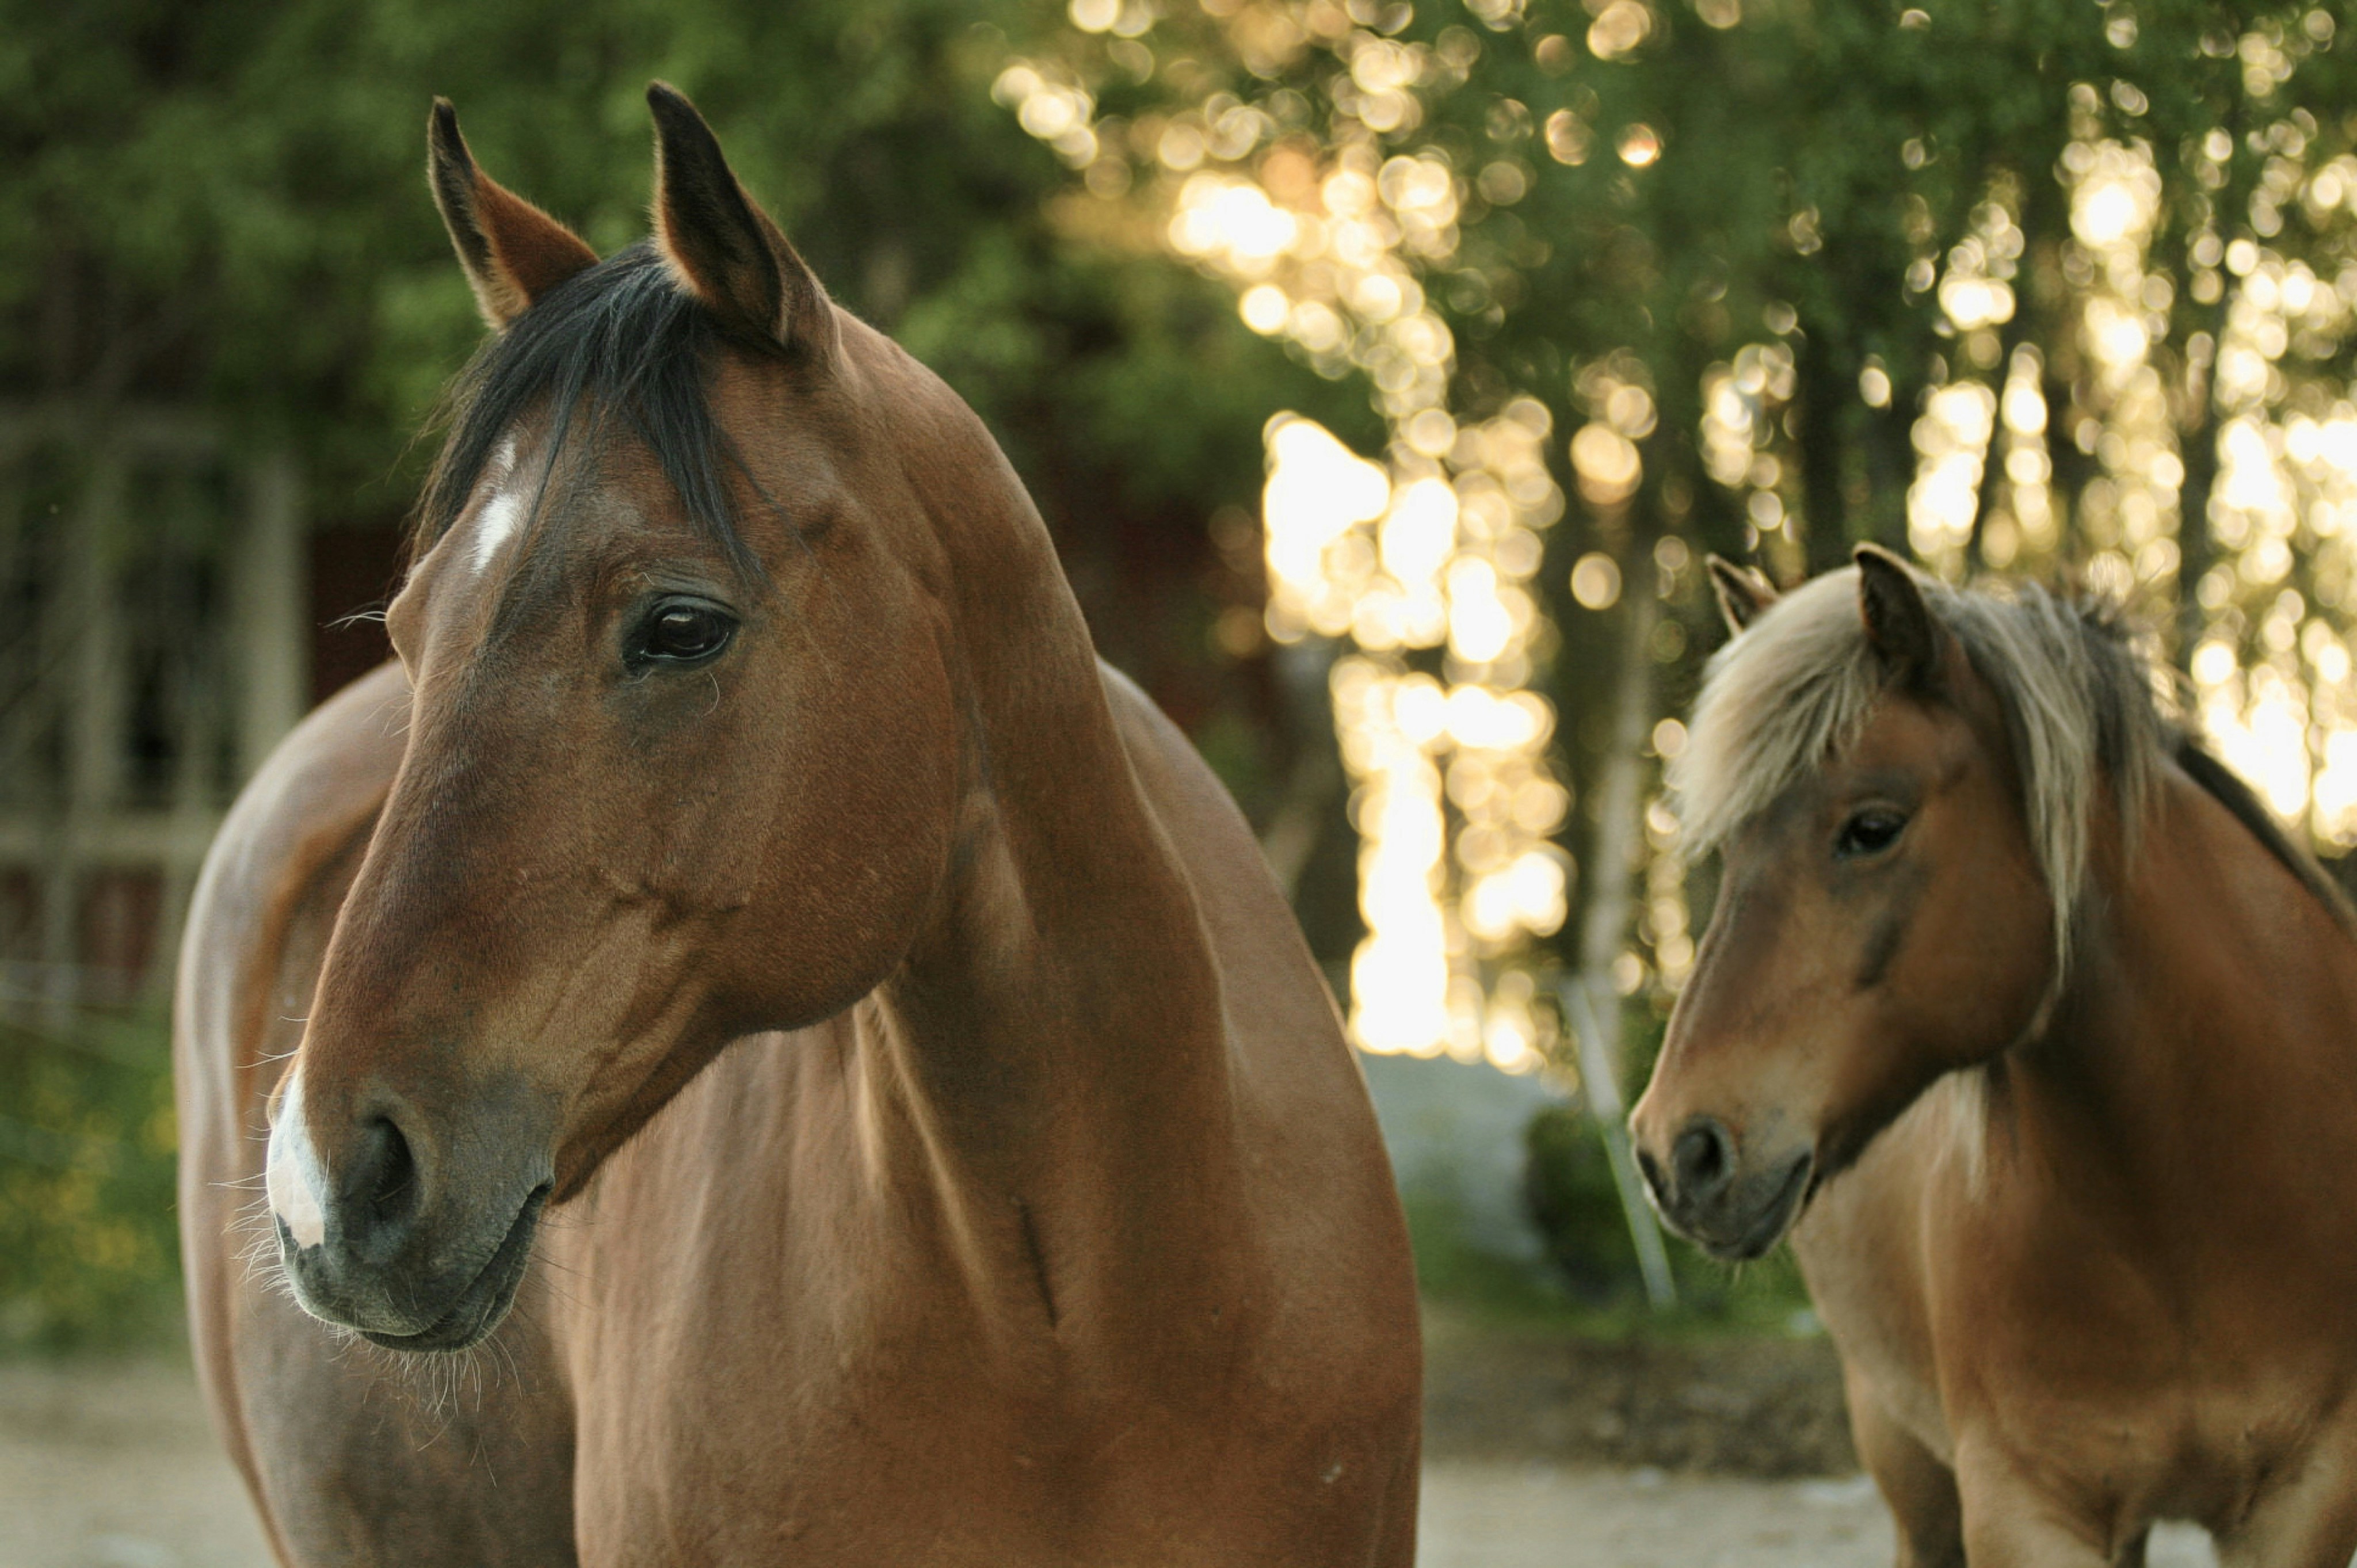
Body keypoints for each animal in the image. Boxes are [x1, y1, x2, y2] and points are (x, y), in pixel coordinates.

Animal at [1630, 545, 2357, 1566]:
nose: (1675, 1151)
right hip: (1909, 1463)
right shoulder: (2025, 1509)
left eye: (1873, 826)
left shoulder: (2303, 1501)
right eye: (1732, 848)